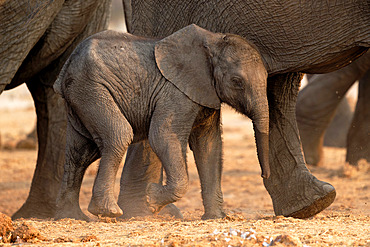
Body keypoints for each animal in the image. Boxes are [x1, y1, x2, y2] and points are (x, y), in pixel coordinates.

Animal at [54, 23, 268, 220]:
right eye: (237, 81)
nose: (264, 176)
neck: (212, 41)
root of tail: (66, 68)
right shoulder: (177, 92)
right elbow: (162, 136)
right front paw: (151, 199)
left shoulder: (206, 93)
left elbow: (209, 146)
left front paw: (215, 218)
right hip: (90, 88)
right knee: (118, 135)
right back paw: (108, 212)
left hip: (80, 93)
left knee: (81, 152)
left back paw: (71, 216)